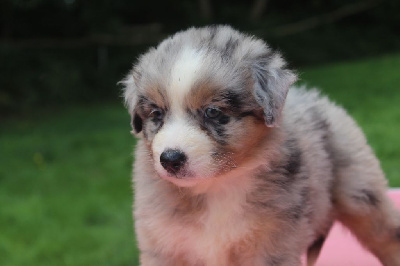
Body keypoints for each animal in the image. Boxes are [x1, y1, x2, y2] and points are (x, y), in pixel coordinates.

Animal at [121, 25, 400, 266]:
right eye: (156, 114)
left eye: (213, 112)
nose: (170, 159)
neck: (216, 186)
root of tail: (317, 97)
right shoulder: (162, 245)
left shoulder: (271, 245)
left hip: (361, 194)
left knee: (387, 235)